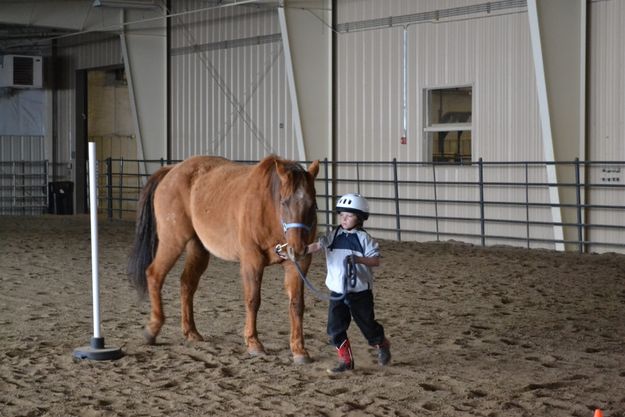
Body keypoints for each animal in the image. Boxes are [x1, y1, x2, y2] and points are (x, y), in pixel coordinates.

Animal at [129, 154, 320, 362]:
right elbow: (253, 300)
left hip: (197, 248)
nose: (298, 249)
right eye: (284, 202)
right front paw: (253, 343)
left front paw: (299, 350)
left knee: (187, 284)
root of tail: (172, 170)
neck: (267, 207)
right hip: (172, 241)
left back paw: (191, 332)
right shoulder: (252, 260)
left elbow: (297, 304)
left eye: (313, 205)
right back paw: (152, 329)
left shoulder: (298, 265)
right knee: (154, 275)